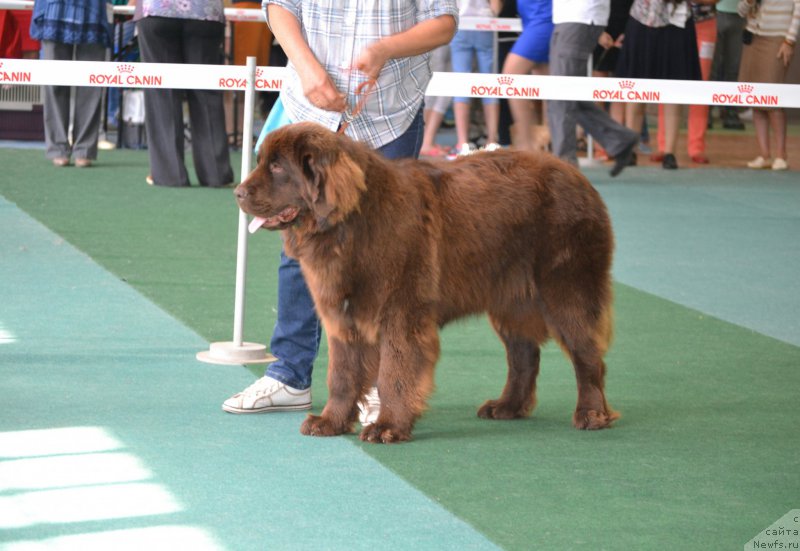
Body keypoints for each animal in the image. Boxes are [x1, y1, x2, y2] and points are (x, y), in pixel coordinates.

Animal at [234, 122, 616, 444]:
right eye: (261, 161)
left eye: (278, 168)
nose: (237, 192)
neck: (350, 224)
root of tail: (577, 177)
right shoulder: (343, 318)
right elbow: (341, 375)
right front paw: (331, 421)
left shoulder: (401, 314)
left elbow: (394, 373)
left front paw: (388, 426)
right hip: (510, 299)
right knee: (524, 355)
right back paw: (507, 406)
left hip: (566, 289)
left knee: (587, 354)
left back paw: (592, 413)